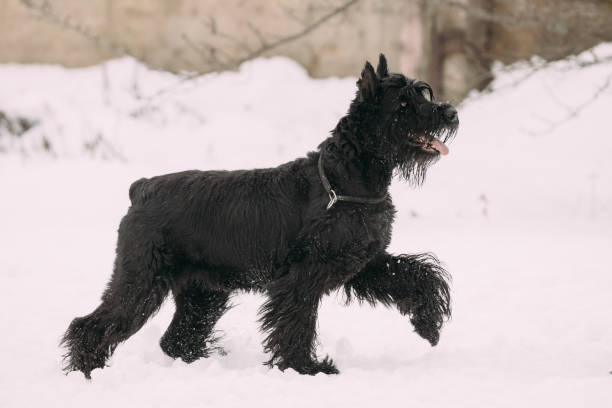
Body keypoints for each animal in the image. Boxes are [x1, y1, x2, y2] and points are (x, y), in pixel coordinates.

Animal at [62, 55, 456, 380]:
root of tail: (142, 188)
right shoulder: (302, 278)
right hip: (142, 279)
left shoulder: (364, 262)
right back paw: (86, 373)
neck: (346, 176)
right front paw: (306, 368)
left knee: (177, 338)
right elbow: (297, 322)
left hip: (203, 292)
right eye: (403, 103)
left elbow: (417, 275)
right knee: (93, 325)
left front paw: (430, 325)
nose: (449, 112)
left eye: (423, 94)